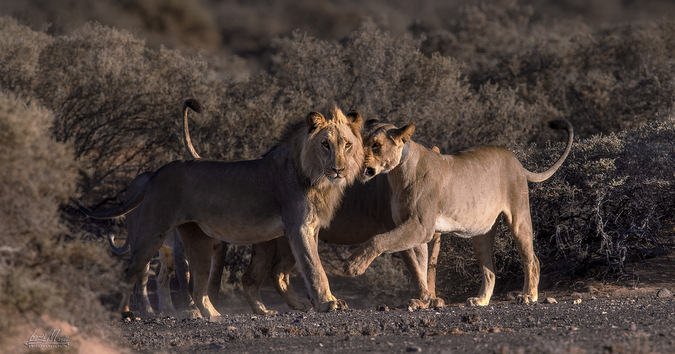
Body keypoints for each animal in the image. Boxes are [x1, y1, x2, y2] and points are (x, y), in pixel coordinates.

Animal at [346, 117, 572, 306]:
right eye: (361, 141)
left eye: (376, 145)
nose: (356, 158)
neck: (397, 174)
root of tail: (517, 161)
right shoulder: (412, 228)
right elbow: (418, 266)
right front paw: (422, 299)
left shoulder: (421, 227)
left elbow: (379, 239)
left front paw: (355, 264)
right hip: (481, 234)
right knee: (490, 270)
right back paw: (481, 300)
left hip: (518, 218)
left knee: (532, 260)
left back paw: (528, 295)